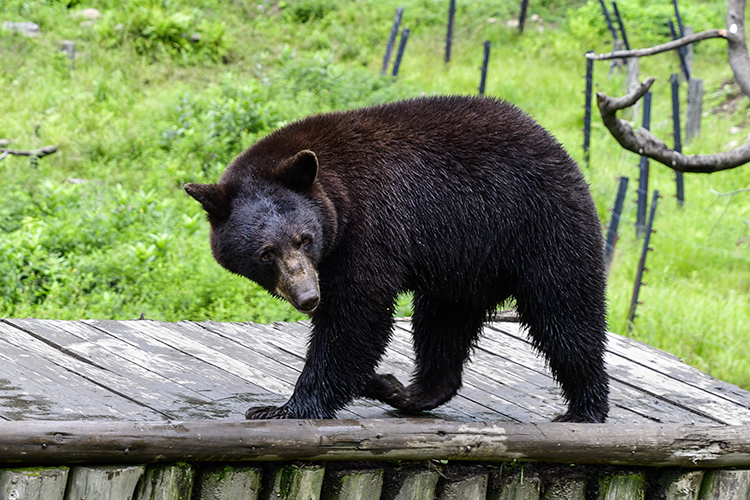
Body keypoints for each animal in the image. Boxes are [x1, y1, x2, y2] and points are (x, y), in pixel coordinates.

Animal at [187, 94, 612, 422]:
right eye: (265, 253)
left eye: (304, 239)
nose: (308, 297)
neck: (336, 194)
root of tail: (559, 146)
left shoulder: (368, 229)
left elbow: (356, 315)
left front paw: (285, 407)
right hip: (465, 264)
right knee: (442, 327)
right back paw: (401, 390)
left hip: (543, 230)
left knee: (566, 316)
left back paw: (585, 408)